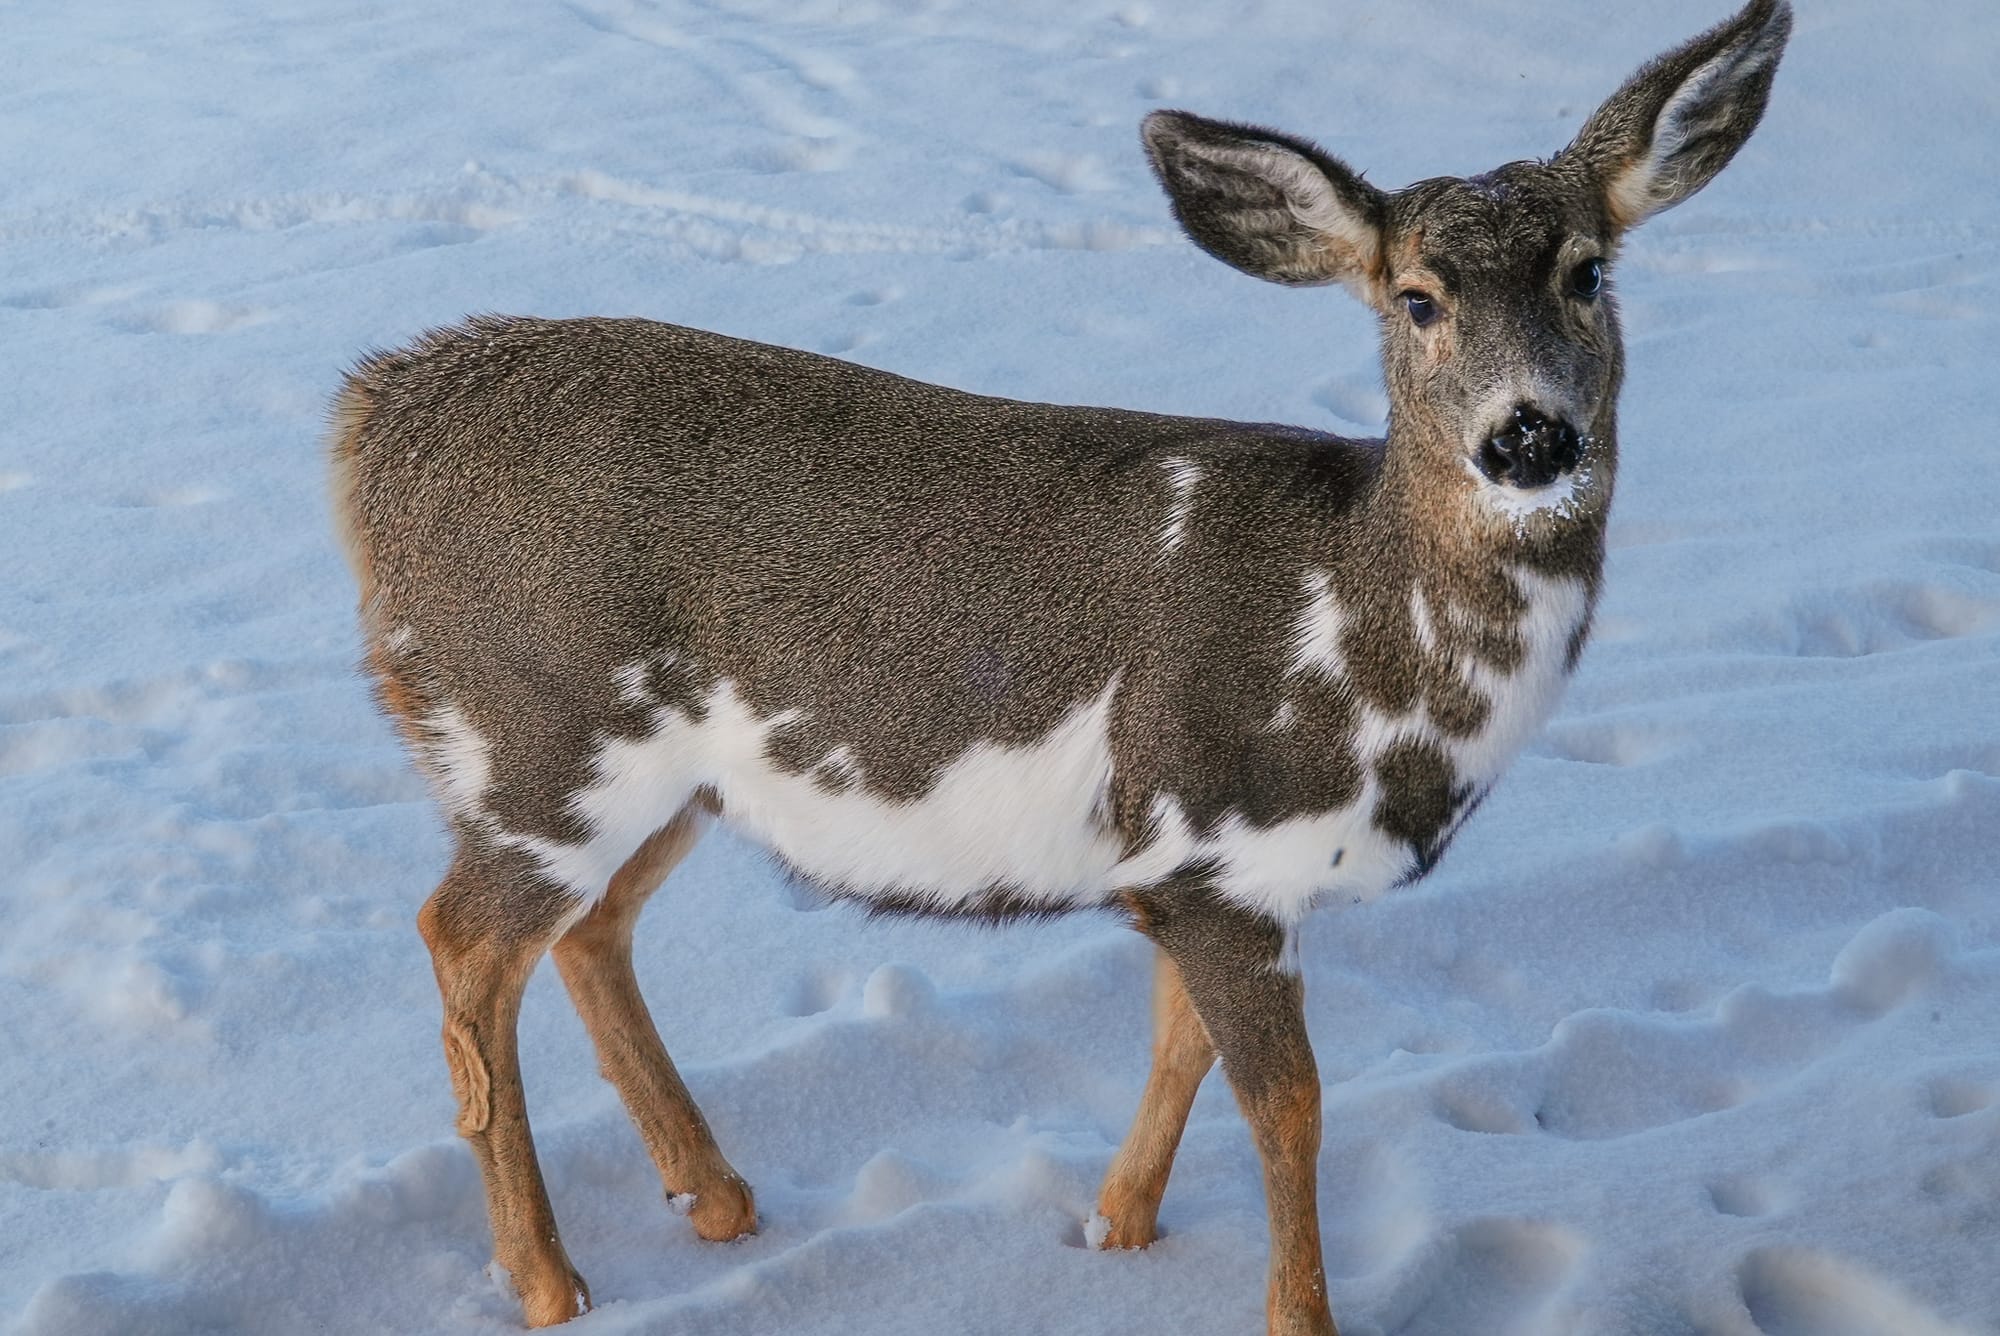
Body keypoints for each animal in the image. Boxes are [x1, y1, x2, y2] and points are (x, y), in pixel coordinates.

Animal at [328, 5, 1800, 1328]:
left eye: (1587, 272)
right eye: (1416, 297)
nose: (1528, 436)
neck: (1365, 644)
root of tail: (370, 421)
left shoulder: (1187, 872)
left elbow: (1177, 1053)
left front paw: (1113, 1231)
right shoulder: (1216, 844)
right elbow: (1288, 1106)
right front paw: (1288, 1309)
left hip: (656, 775)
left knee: (591, 932)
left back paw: (718, 1201)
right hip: (537, 728)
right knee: (464, 940)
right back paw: (550, 1283)